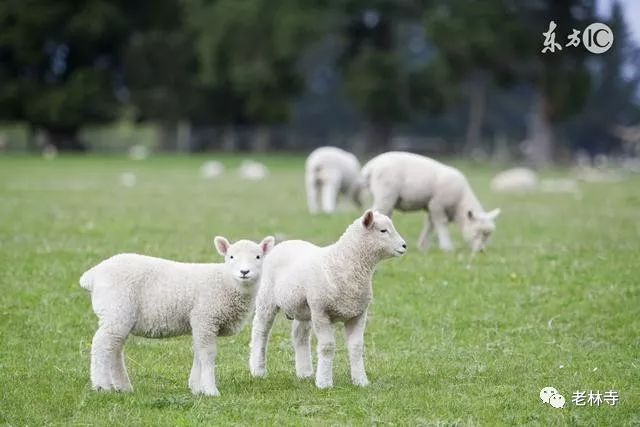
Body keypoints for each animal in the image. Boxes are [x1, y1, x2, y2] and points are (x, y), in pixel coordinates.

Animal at [79, 236, 274, 396]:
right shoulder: (205, 318)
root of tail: (93, 275)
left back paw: (123, 387)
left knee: (114, 349)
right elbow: (207, 354)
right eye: (231, 257)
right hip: (116, 309)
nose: (244, 272)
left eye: (258, 257)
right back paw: (102, 386)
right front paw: (211, 390)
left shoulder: (199, 323)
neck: (226, 282)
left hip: (120, 316)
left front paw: (197, 388)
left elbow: (198, 353)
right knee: (101, 345)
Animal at [249, 212, 404, 390]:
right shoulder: (321, 312)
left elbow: (357, 347)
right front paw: (324, 382)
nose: (404, 246)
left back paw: (305, 372)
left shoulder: (358, 314)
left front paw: (360, 381)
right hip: (267, 299)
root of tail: (283, 243)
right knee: (260, 332)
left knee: (300, 335)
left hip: (304, 308)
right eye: (383, 230)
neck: (344, 263)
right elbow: (327, 347)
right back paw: (258, 370)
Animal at [360, 153, 500, 254]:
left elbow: (430, 225)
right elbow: (441, 224)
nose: (481, 251)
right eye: (477, 233)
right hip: (385, 194)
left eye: (488, 235)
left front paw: (423, 246)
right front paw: (447, 247)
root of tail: (371, 166)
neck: (459, 204)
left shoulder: (432, 208)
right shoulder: (437, 205)